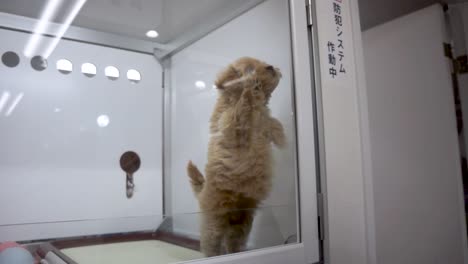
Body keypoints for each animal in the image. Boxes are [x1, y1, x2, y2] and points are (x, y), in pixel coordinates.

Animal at [186, 56, 286, 256]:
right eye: (249, 68)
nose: (272, 67)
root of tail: (202, 192)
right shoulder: (231, 124)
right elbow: (242, 107)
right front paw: (251, 86)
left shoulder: (265, 123)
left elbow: (273, 125)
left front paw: (283, 138)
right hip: (214, 225)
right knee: (211, 247)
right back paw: (213, 257)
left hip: (241, 226)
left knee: (233, 244)